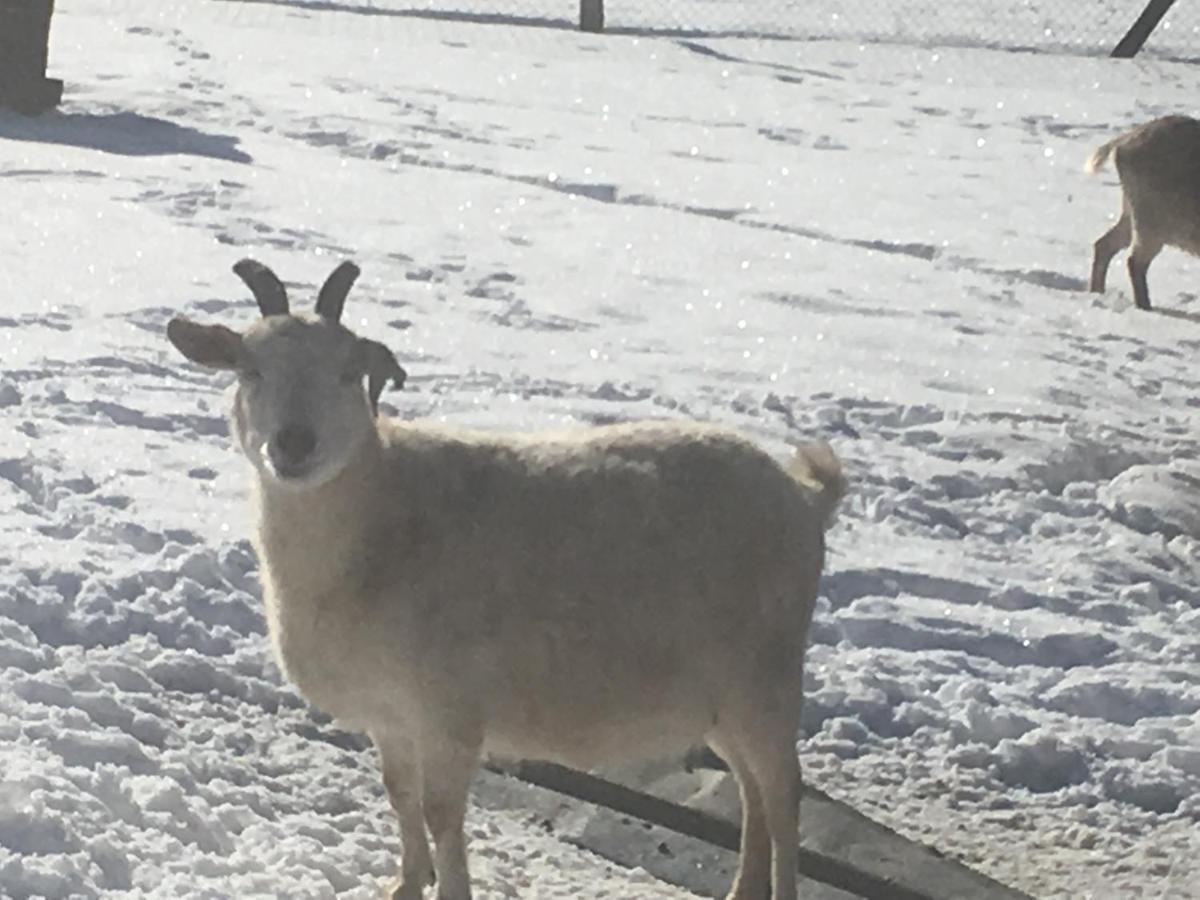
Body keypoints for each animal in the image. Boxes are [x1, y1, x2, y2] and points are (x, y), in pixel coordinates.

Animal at [166, 260, 844, 900]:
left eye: (348, 370)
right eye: (248, 368)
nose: (294, 444)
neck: (382, 518)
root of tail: (806, 496)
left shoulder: (450, 710)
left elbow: (441, 814)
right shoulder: (391, 716)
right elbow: (399, 795)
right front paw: (404, 884)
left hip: (766, 676)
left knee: (783, 795)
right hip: (722, 700)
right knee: (753, 792)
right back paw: (742, 889)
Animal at [1089, 114, 1200, 312]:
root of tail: (1122, 142)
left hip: (1132, 212)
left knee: (1104, 244)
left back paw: (1097, 293)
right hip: (1150, 217)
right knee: (1135, 261)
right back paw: (1146, 307)